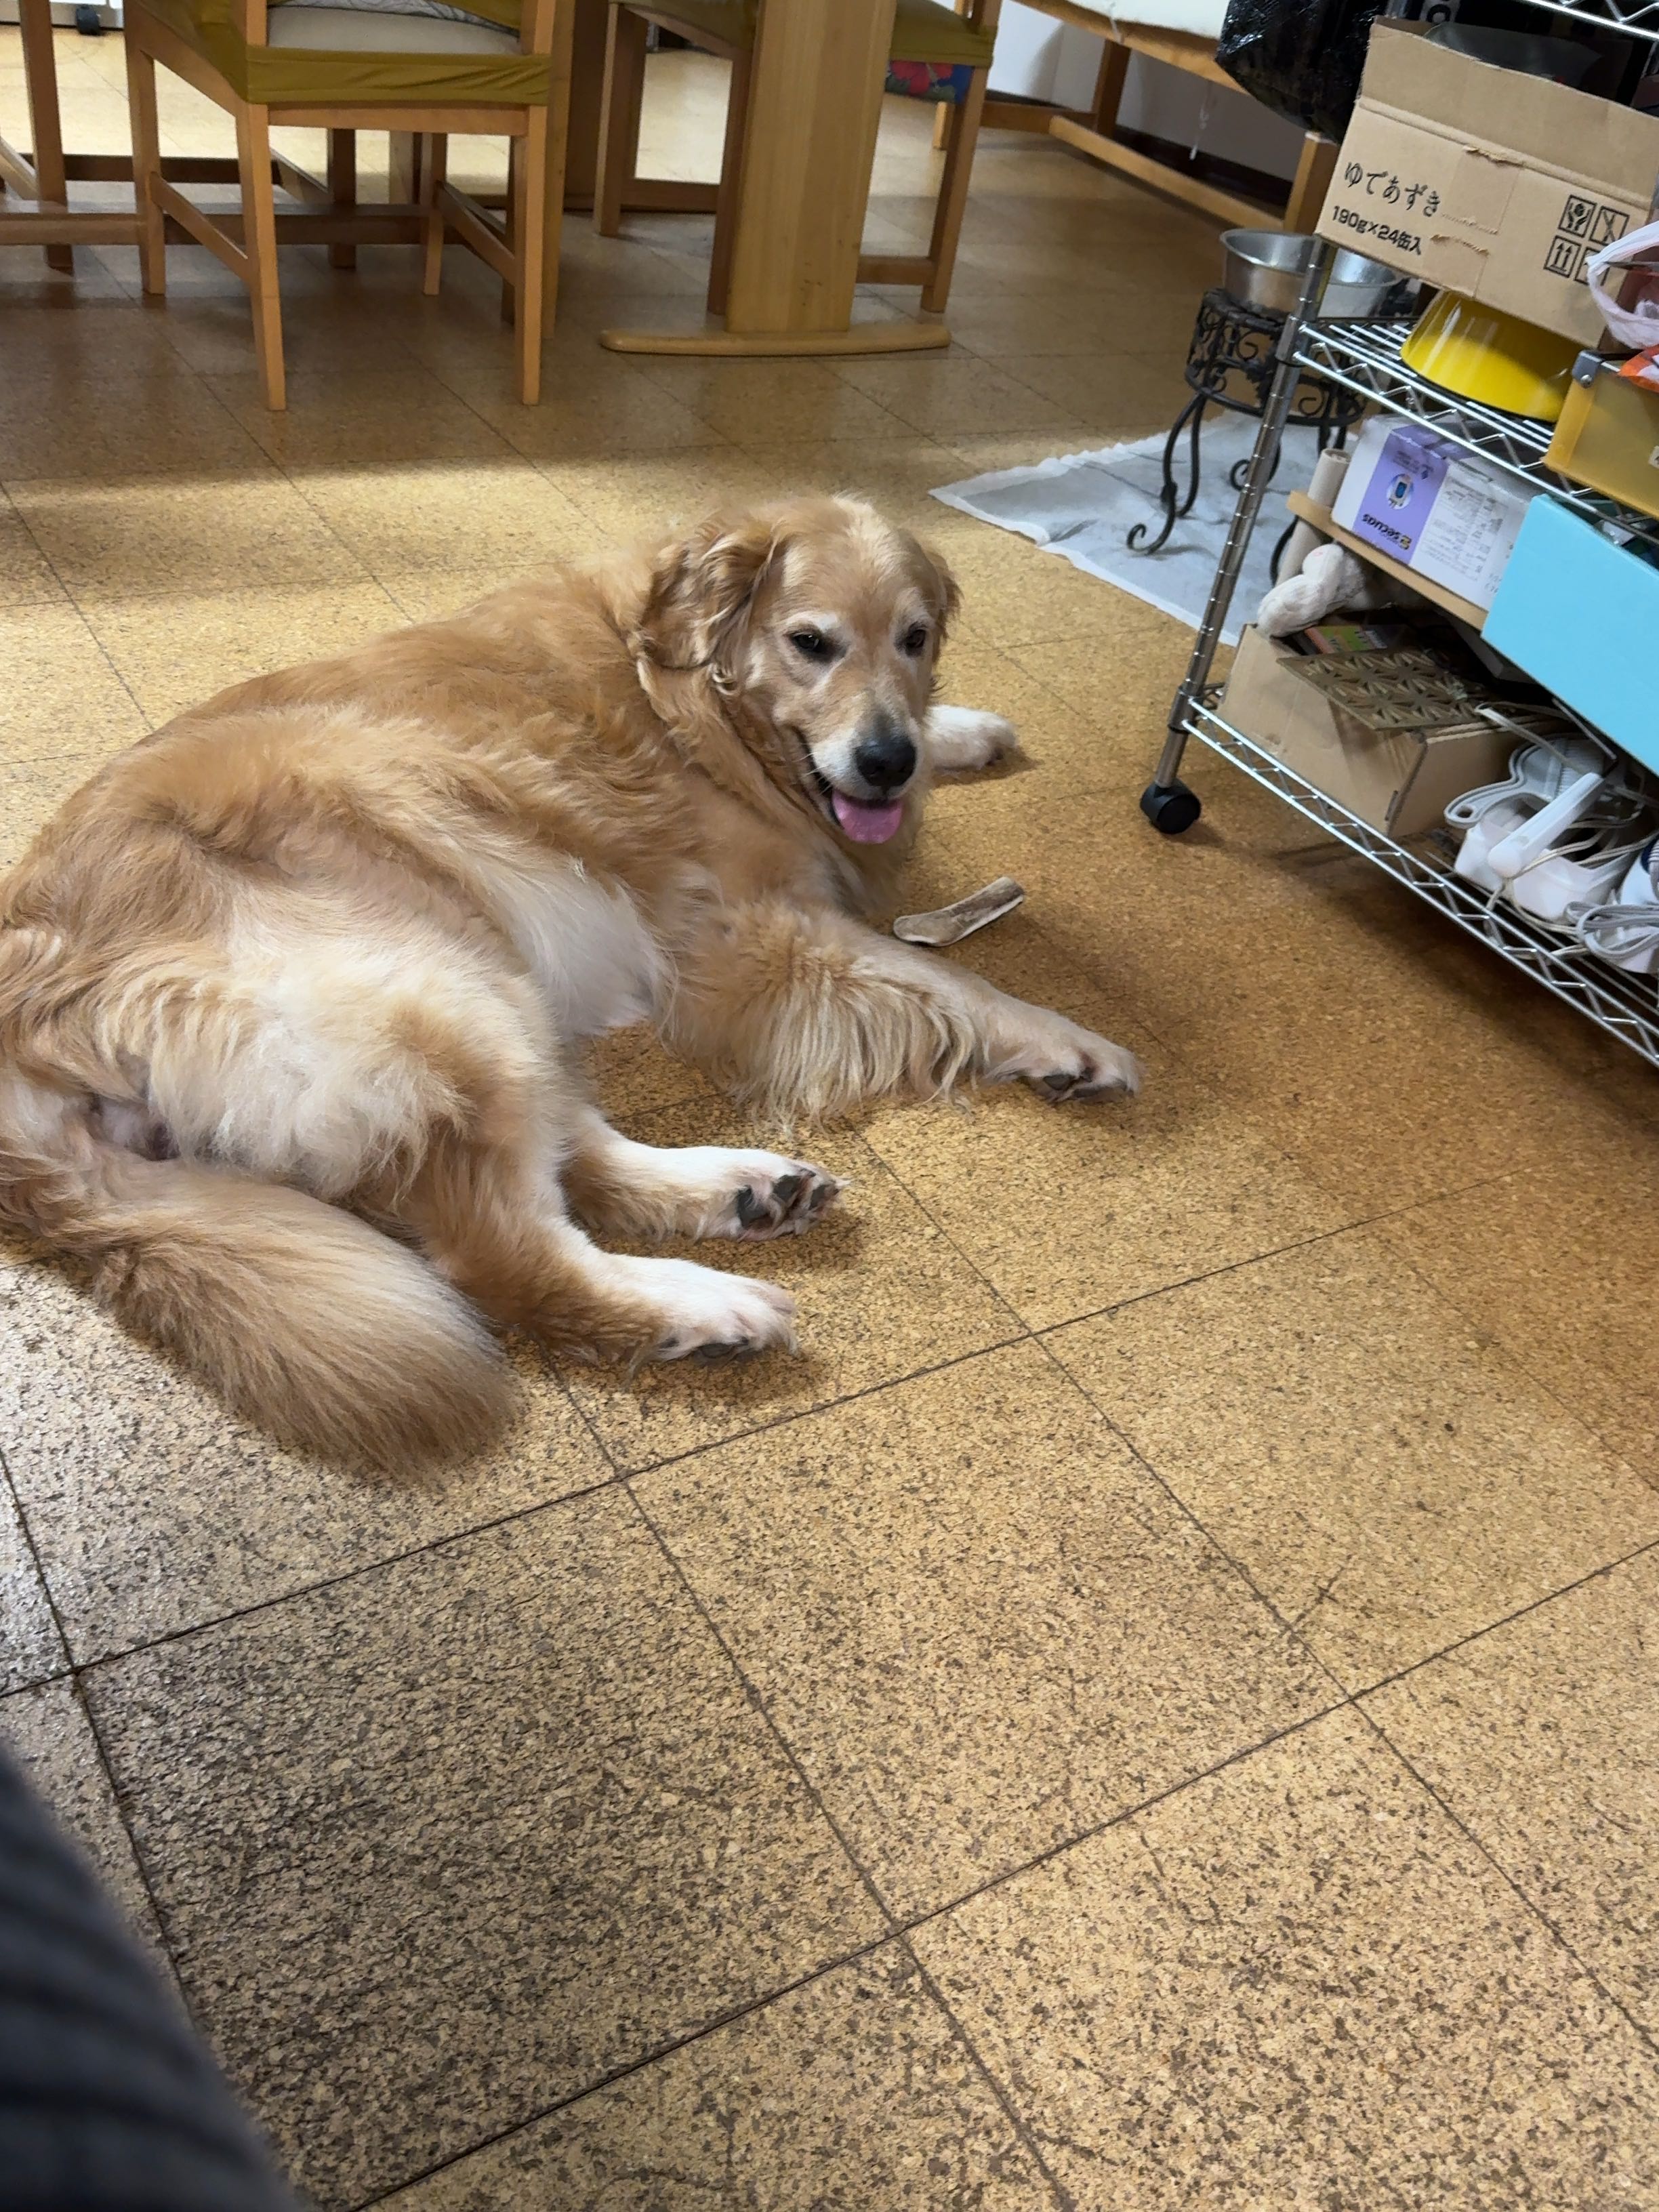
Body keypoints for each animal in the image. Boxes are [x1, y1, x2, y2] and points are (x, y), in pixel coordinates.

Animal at [0, 495, 1140, 1469]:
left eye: (915, 639)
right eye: (811, 643)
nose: (886, 761)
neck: (684, 692)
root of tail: (31, 1022)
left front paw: (965, 730)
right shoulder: (749, 938)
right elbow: (953, 985)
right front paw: (1069, 1041)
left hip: (482, 989)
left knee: (570, 1155)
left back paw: (739, 1190)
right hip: (435, 971)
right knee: (515, 1258)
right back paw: (703, 1308)